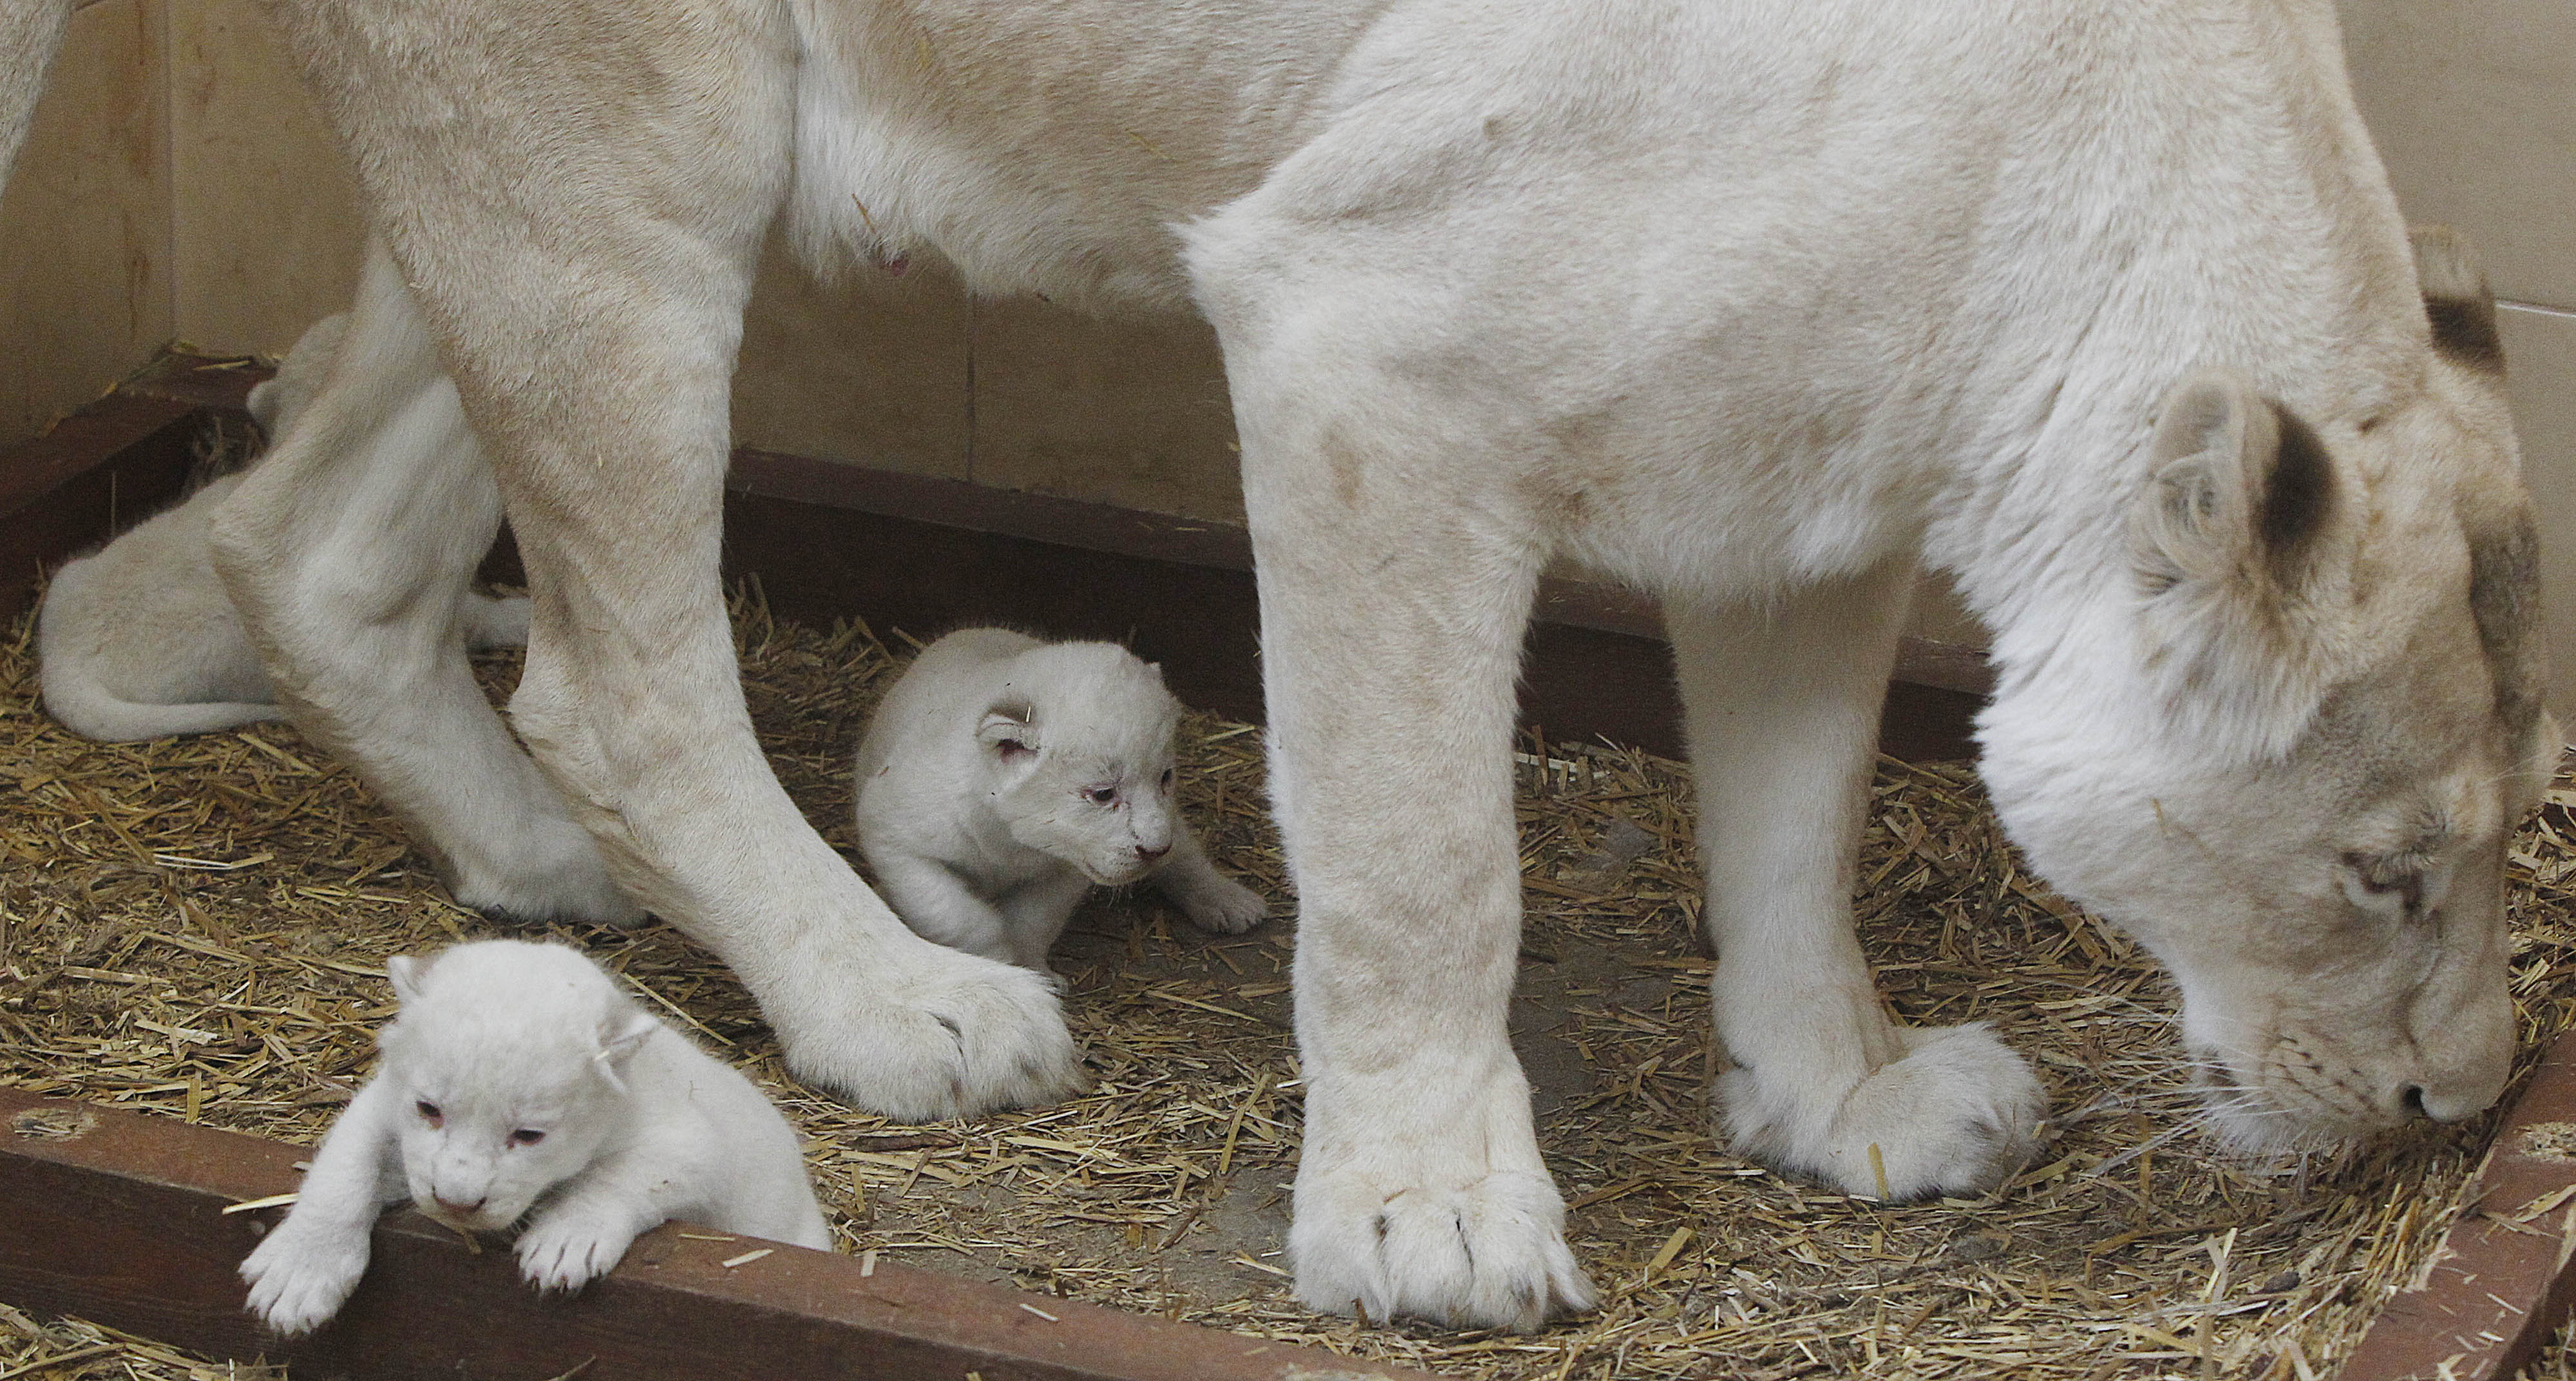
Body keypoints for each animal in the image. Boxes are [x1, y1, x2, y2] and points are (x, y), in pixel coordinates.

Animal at [0, 0, 2545, 1329]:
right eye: (2382, 870)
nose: (2463, 1106)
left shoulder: (1788, 484)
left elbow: (1799, 825)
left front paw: (1841, 1099)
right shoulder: (1368, 362)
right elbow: (1424, 858)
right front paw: (1422, 1216)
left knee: (310, 539)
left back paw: (534, 889)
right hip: (613, 156)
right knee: (613, 675)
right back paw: (890, 1002)